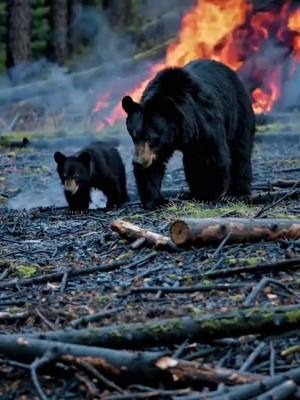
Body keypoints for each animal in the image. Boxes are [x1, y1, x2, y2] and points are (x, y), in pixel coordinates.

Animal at [122, 60, 255, 209]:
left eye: (149, 137)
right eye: (134, 137)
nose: (137, 162)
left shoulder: (203, 121)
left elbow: (214, 155)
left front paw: (208, 196)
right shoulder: (159, 146)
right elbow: (153, 165)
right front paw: (157, 201)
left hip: (238, 113)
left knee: (240, 151)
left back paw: (235, 193)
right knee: (191, 162)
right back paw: (188, 193)